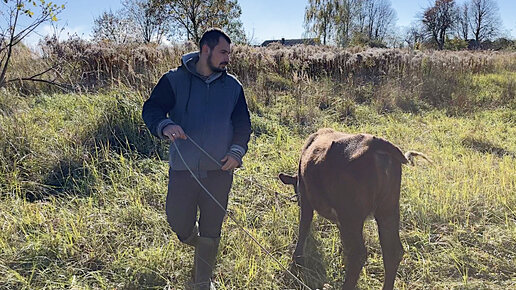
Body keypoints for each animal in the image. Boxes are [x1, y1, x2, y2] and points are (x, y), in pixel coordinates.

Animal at [280, 129, 430, 290]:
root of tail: (377, 143)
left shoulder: (306, 198)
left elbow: (303, 227)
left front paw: (296, 261)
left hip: (352, 215)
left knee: (358, 254)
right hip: (388, 210)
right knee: (393, 251)